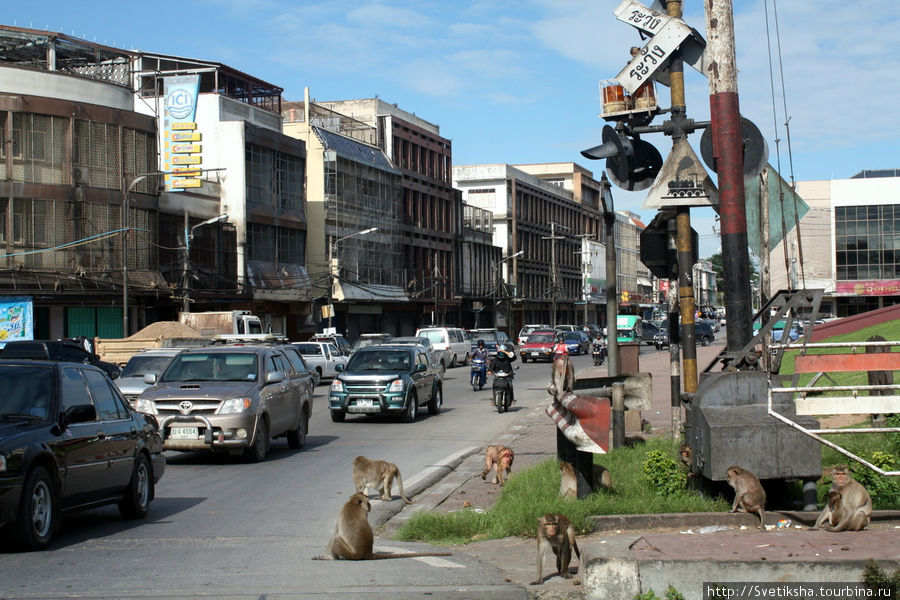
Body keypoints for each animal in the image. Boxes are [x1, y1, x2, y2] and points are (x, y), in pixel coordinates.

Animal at [312, 494, 454, 560]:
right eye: (368, 502)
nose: (370, 506)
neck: (353, 504)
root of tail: (366, 553)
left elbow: (335, 534)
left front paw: (326, 555)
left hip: (350, 553)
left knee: (337, 539)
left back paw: (333, 558)